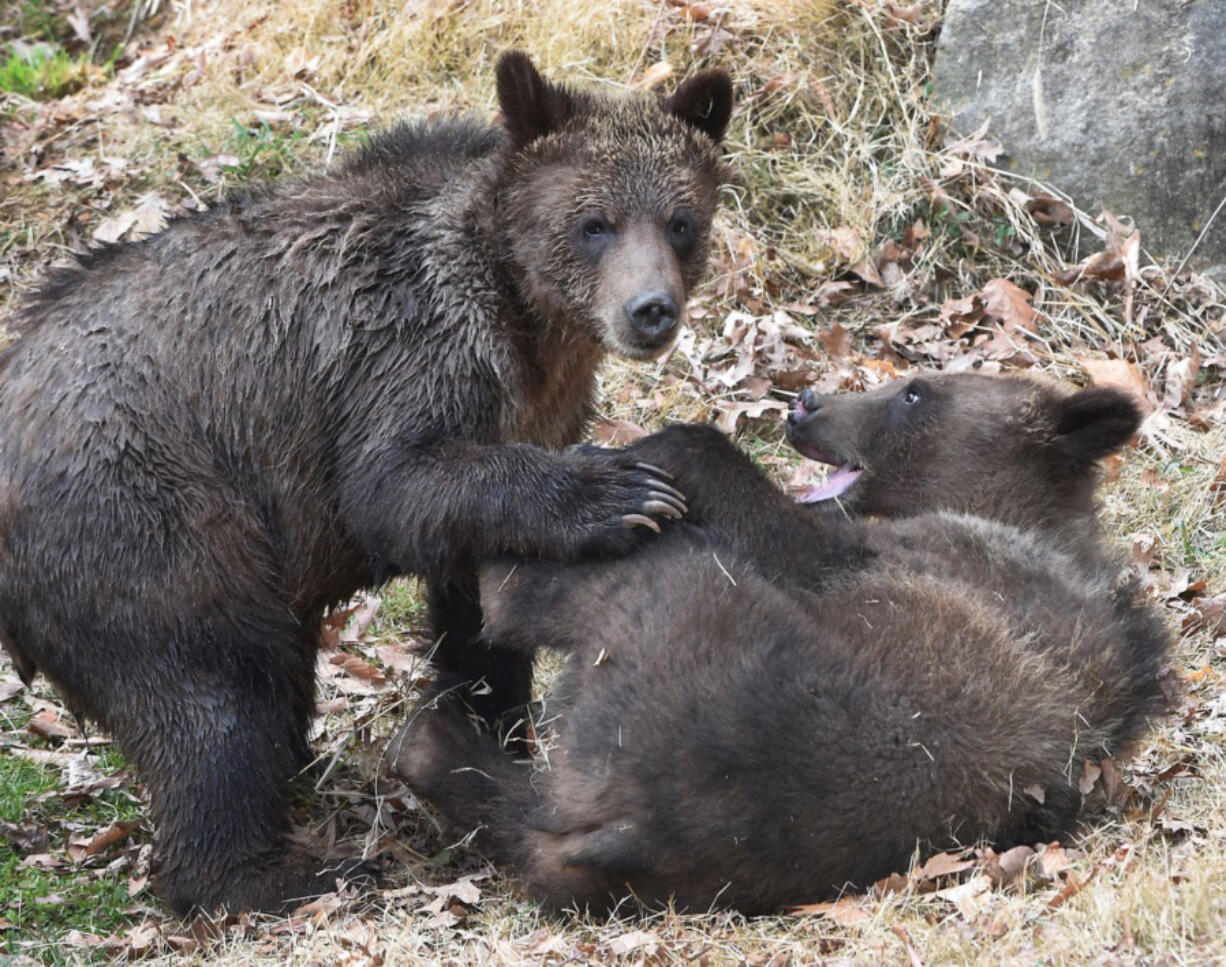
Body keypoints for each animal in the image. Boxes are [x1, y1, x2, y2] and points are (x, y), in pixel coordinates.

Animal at [0, 52, 725, 911]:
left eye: (680, 220)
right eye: (595, 222)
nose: (650, 310)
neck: (526, 324)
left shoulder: (528, 410)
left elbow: (479, 605)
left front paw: (488, 731)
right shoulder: (403, 356)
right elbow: (393, 487)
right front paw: (625, 492)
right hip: (148, 510)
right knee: (217, 685)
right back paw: (279, 871)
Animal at [394, 372, 1167, 916]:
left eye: (915, 389)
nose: (806, 402)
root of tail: (632, 824)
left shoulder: (929, 560)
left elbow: (786, 534)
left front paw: (638, 459)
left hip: (692, 664)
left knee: (627, 584)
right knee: (522, 821)